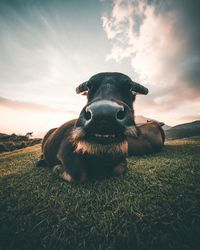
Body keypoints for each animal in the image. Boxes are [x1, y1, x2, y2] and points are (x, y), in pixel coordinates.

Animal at [36, 72, 165, 184]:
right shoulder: (65, 154)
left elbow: (119, 169)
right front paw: (57, 168)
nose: (103, 114)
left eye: (129, 87)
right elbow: (79, 175)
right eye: (89, 87)